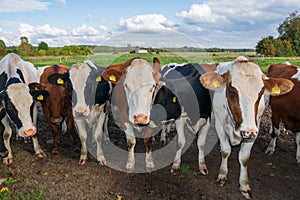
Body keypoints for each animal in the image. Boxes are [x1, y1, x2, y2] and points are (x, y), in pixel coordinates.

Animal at [199, 55, 292, 198]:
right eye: (231, 90)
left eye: (261, 92)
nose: (247, 132)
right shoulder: (219, 124)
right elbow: (225, 151)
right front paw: (222, 174)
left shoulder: (255, 129)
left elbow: (244, 158)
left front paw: (244, 185)